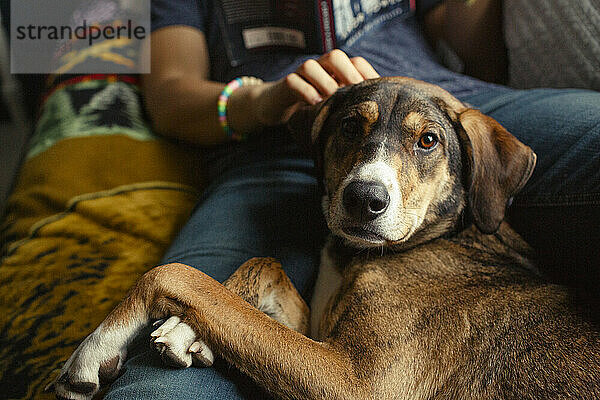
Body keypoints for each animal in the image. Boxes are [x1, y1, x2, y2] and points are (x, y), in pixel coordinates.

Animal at [50, 76, 600, 398]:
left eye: (428, 141)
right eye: (352, 127)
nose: (364, 199)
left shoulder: (357, 380)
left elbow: (180, 274)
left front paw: (96, 348)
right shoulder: (317, 334)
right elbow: (259, 269)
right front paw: (192, 332)